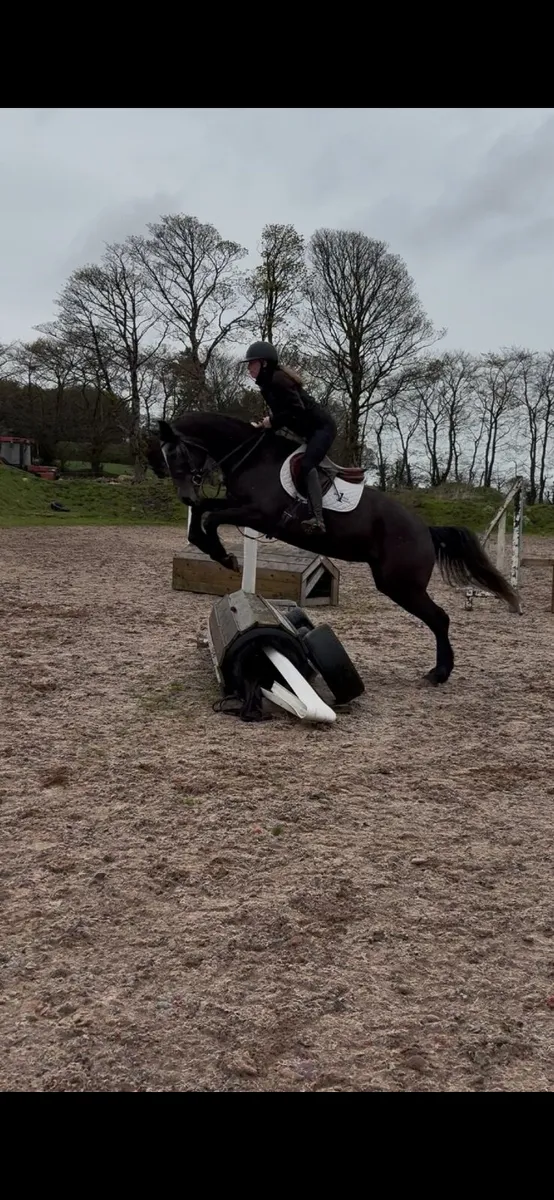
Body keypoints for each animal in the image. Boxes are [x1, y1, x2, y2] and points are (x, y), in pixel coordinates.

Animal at [148, 413, 520, 685]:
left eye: (177, 454)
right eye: (164, 457)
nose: (185, 496)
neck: (250, 457)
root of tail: (425, 530)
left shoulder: (259, 515)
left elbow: (211, 517)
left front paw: (224, 556)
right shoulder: (237, 504)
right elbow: (205, 513)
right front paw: (213, 550)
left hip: (401, 585)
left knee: (440, 618)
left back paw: (440, 673)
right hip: (398, 584)